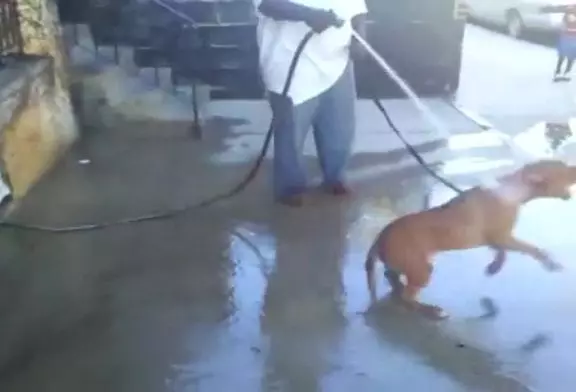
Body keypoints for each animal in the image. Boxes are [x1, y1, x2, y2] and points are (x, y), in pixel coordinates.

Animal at [364, 159, 576, 318]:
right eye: (563, 169)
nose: (574, 165)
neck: (512, 189)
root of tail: (379, 238)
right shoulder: (503, 237)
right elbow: (532, 249)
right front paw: (550, 263)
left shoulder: (498, 239)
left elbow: (502, 252)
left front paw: (494, 267)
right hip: (421, 268)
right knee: (407, 297)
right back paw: (430, 311)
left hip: (407, 263)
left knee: (391, 275)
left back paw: (398, 287)